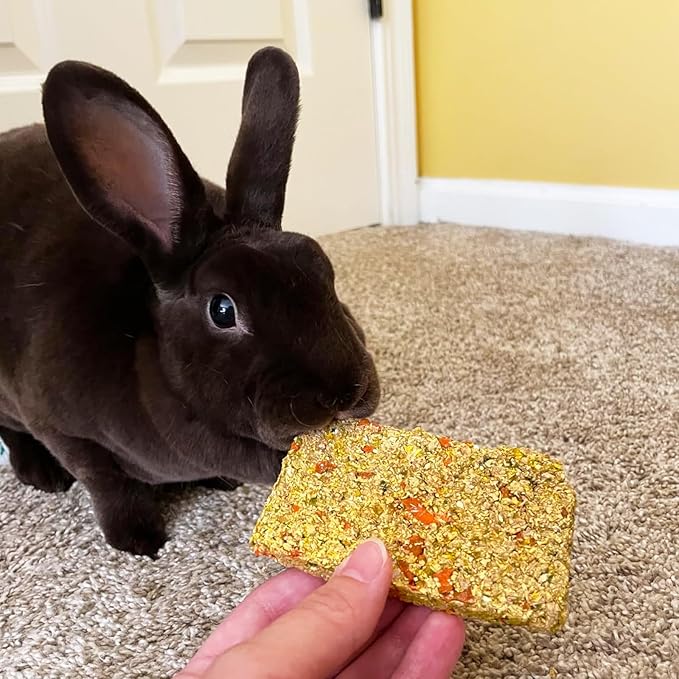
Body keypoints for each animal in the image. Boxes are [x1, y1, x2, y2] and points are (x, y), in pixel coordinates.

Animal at [0, 47, 380, 557]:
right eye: (223, 309)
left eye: (325, 272)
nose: (346, 392)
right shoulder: (63, 431)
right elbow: (107, 485)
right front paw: (139, 541)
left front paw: (219, 482)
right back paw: (40, 473)